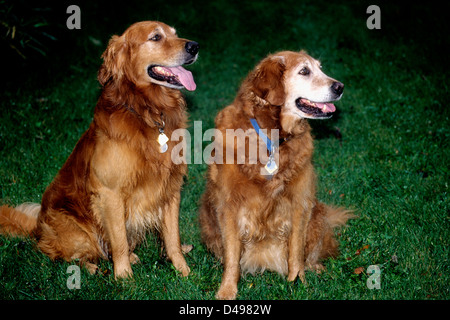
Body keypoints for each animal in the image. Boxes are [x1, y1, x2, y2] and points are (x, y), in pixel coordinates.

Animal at [0, 21, 199, 278]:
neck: (146, 112)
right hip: (77, 234)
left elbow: (172, 237)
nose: (194, 46)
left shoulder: (170, 188)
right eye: (155, 37)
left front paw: (183, 270)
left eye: (175, 33)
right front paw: (124, 277)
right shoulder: (110, 193)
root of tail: (37, 227)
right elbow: (119, 241)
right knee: (61, 254)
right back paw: (93, 267)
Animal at [200, 50, 352, 300]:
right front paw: (227, 290)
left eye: (320, 68)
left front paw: (297, 283)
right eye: (304, 71)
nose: (340, 87)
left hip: (317, 215)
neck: (273, 138)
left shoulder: (301, 202)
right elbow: (232, 255)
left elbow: (296, 251)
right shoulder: (228, 205)